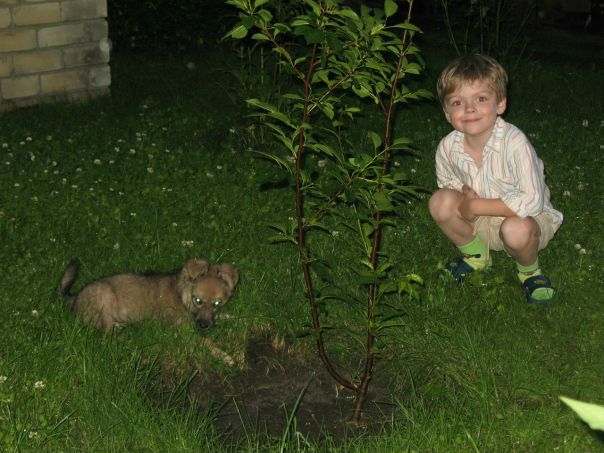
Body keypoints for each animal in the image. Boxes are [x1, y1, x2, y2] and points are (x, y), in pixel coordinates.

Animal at [58, 258, 239, 363]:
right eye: (198, 301)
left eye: (217, 303)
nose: (204, 326)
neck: (181, 295)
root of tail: (74, 299)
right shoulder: (183, 331)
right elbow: (205, 341)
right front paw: (224, 355)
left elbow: (228, 316)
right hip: (105, 295)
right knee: (106, 333)